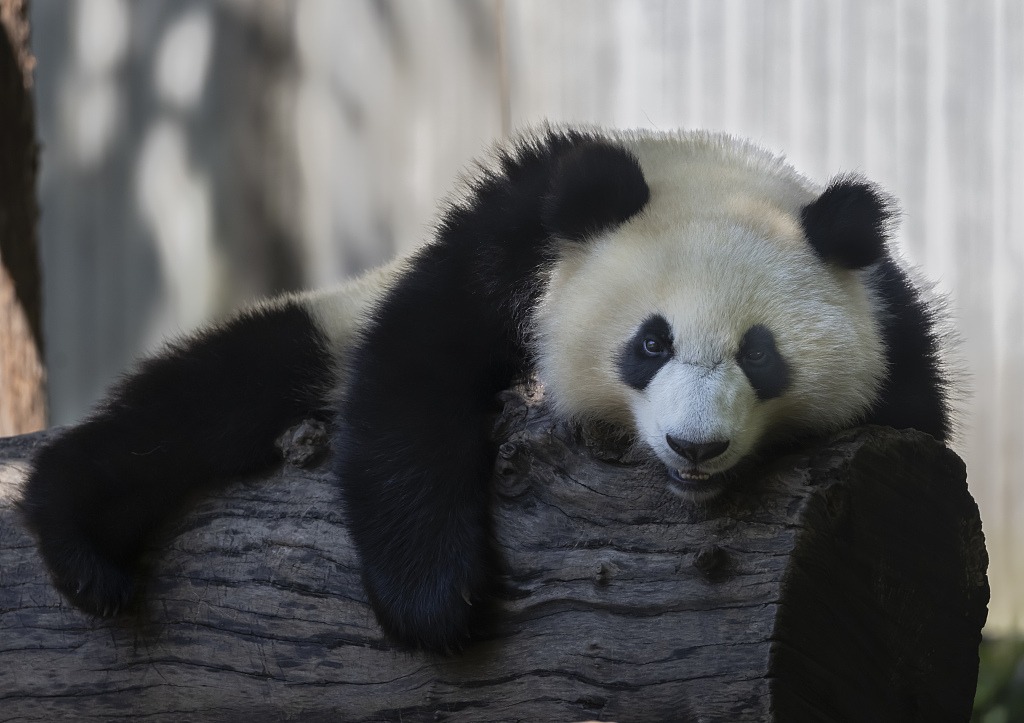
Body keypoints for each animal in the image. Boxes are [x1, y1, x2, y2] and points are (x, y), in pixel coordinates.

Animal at [16, 125, 946, 655]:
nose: (695, 446)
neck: (710, 173)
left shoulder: (892, 333)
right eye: (652, 342)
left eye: (760, 356)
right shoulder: (514, 237)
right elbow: (417, 370)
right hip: (321, 329)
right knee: (207, 398)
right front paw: (433, 600)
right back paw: (79, 544)